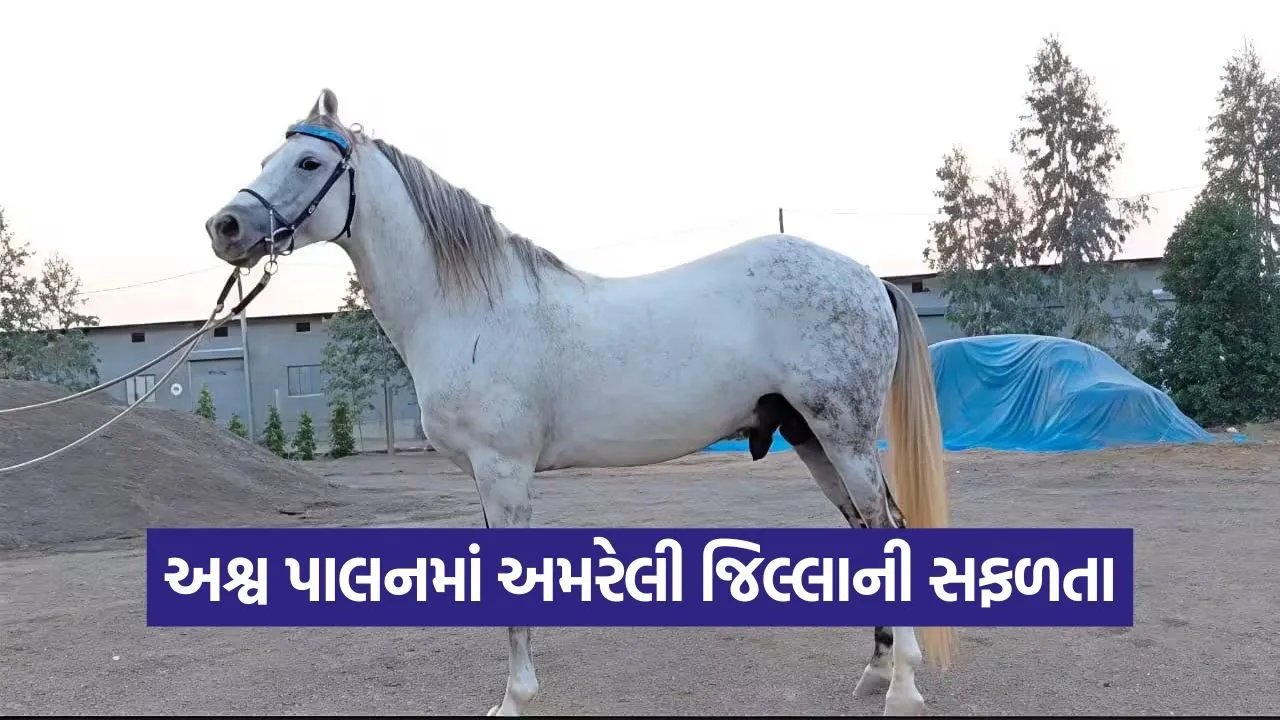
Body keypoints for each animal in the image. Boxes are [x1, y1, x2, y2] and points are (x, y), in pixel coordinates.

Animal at [204, 88, 955, 717]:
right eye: (267, 158)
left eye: (308, 161)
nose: (225, 227)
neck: (472, 309)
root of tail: (868, 277)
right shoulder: (487, 477)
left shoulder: (503, 470)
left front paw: (514, 700)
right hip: (810, 435)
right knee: (864, 533)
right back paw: (878, 672)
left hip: (843, 433)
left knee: (887, 530)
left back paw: (903, 689)